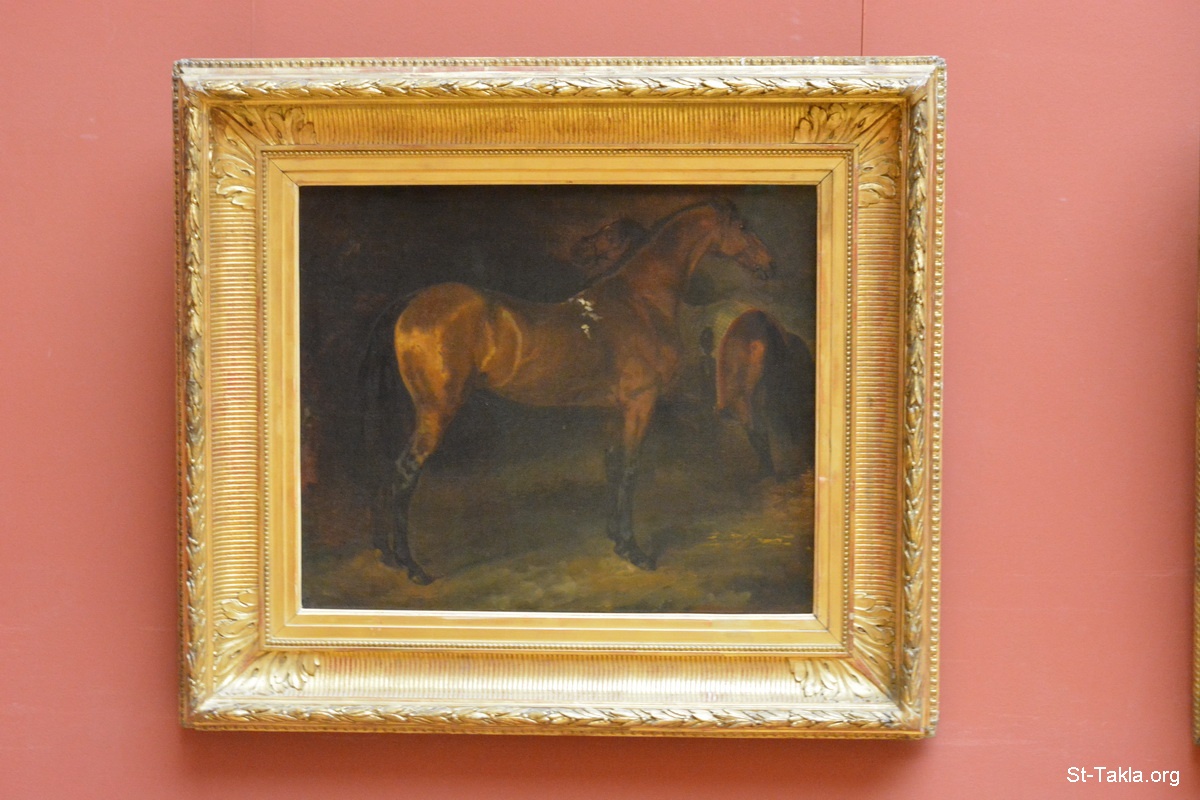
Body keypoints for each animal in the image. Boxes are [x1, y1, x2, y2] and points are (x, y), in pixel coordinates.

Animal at [374, 199, 774, 584]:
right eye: (742, 226)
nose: (768, 264)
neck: (640, 301)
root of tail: (414, 301)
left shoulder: (616, 408)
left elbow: (614, 464)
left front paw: (616, 539)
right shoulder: (640, 402)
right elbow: (630, 469)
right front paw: (634, 551)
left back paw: (390, 556)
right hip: (437, 411)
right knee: (406, 471)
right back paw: (412, 567)